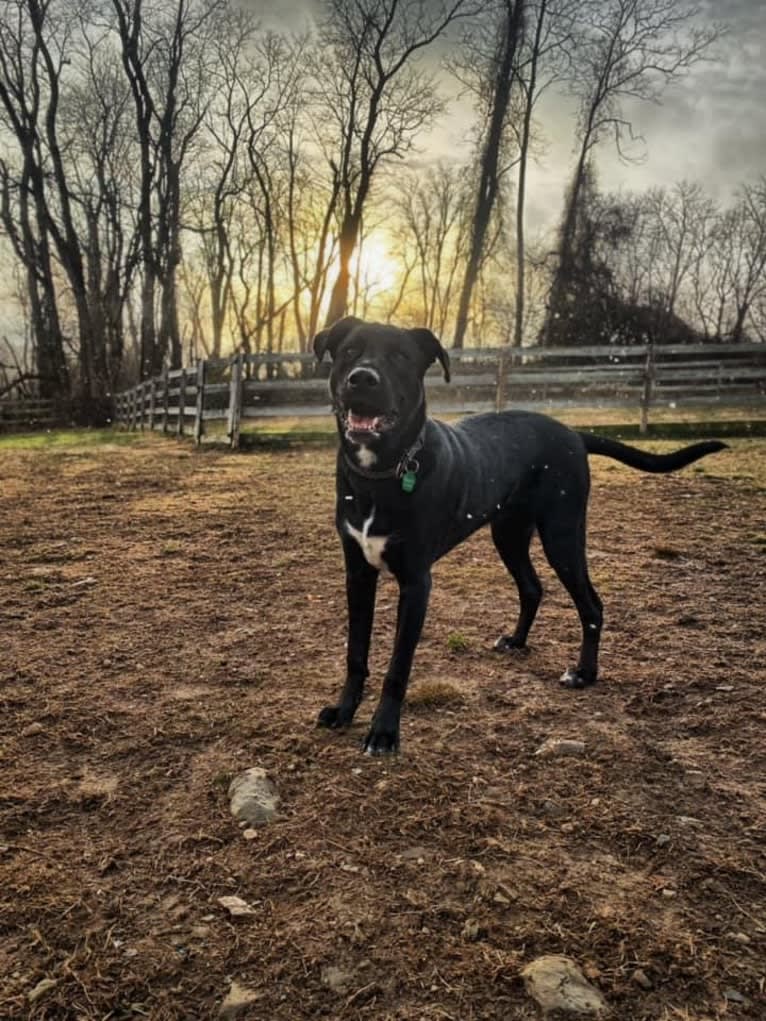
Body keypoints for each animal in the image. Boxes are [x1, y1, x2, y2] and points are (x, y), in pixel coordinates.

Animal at [312, 314, 727, 755]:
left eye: (401, 357)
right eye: (350, 351)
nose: (362, 378)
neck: (382, 474)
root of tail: (573, 434)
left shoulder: (416, 583)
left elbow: (398, 666)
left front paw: (384, 732)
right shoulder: (357, 574)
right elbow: (355, 653)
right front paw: (344, 711)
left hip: (562, 535)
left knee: (591, 605)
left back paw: (584, 673)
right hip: (509, 534)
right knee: (532, 588)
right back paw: (516, 640)